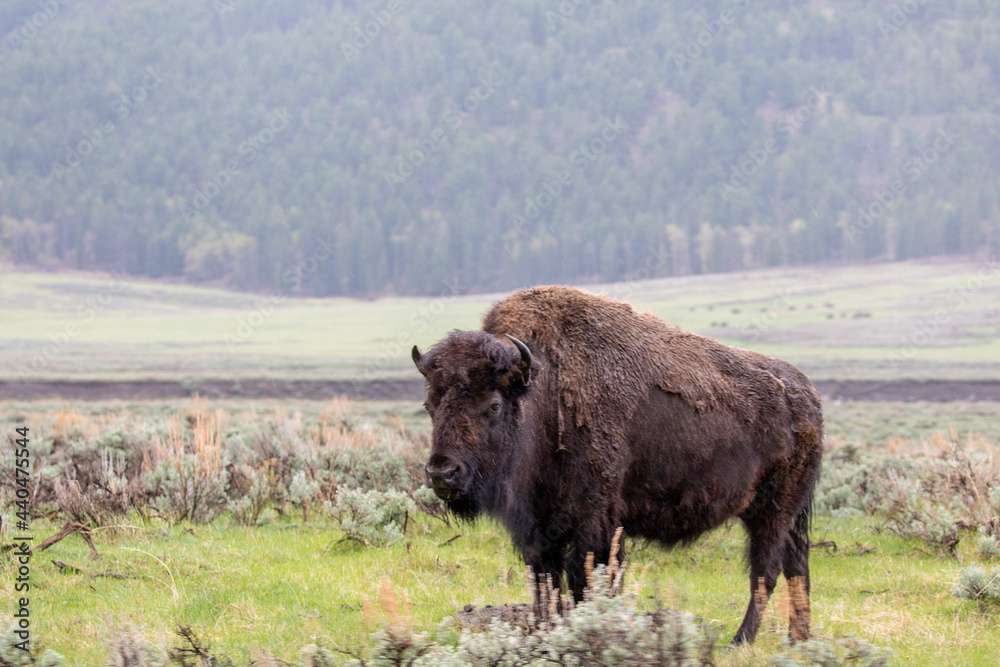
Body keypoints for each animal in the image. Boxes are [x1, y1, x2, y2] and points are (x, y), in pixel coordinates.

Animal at [410, 286, 824, 640]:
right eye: (430, 405)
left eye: (494, 405)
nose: (442, 473)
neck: (543, 393)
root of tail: (808, 395)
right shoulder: (539, 532)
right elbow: (546, 587)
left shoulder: (596, 523)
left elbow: (588, 582)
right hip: (778, 514)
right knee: (796, 561)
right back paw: (798, 639)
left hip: (772, 512)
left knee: (766, 569)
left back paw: (741, 641)